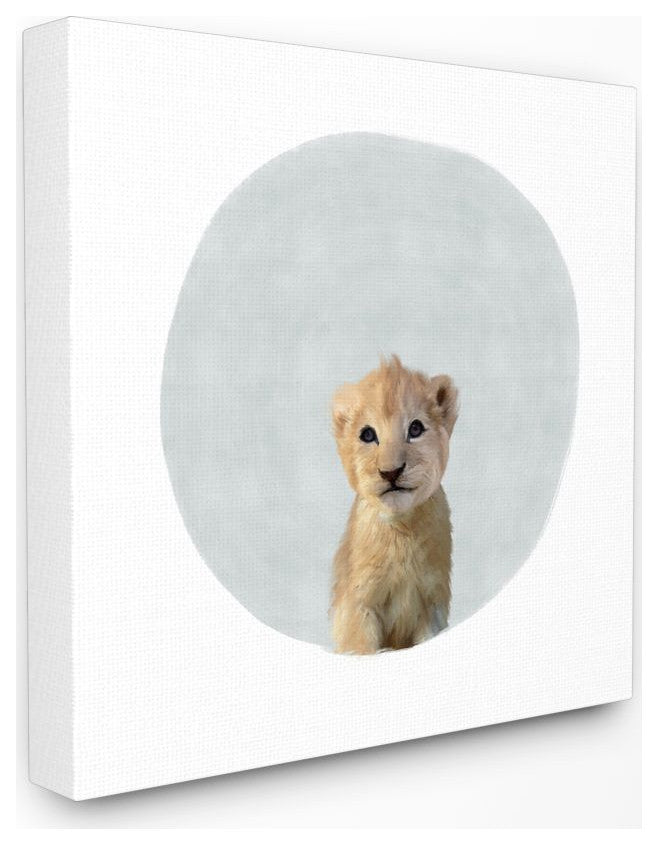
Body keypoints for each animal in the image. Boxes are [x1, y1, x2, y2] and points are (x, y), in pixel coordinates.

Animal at [330, 355, 459, 654]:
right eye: (367, 435)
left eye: (415, 428)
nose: (391, 472)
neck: (401, 529)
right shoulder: (358, 606)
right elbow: (362, 647)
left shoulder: (432, 605)